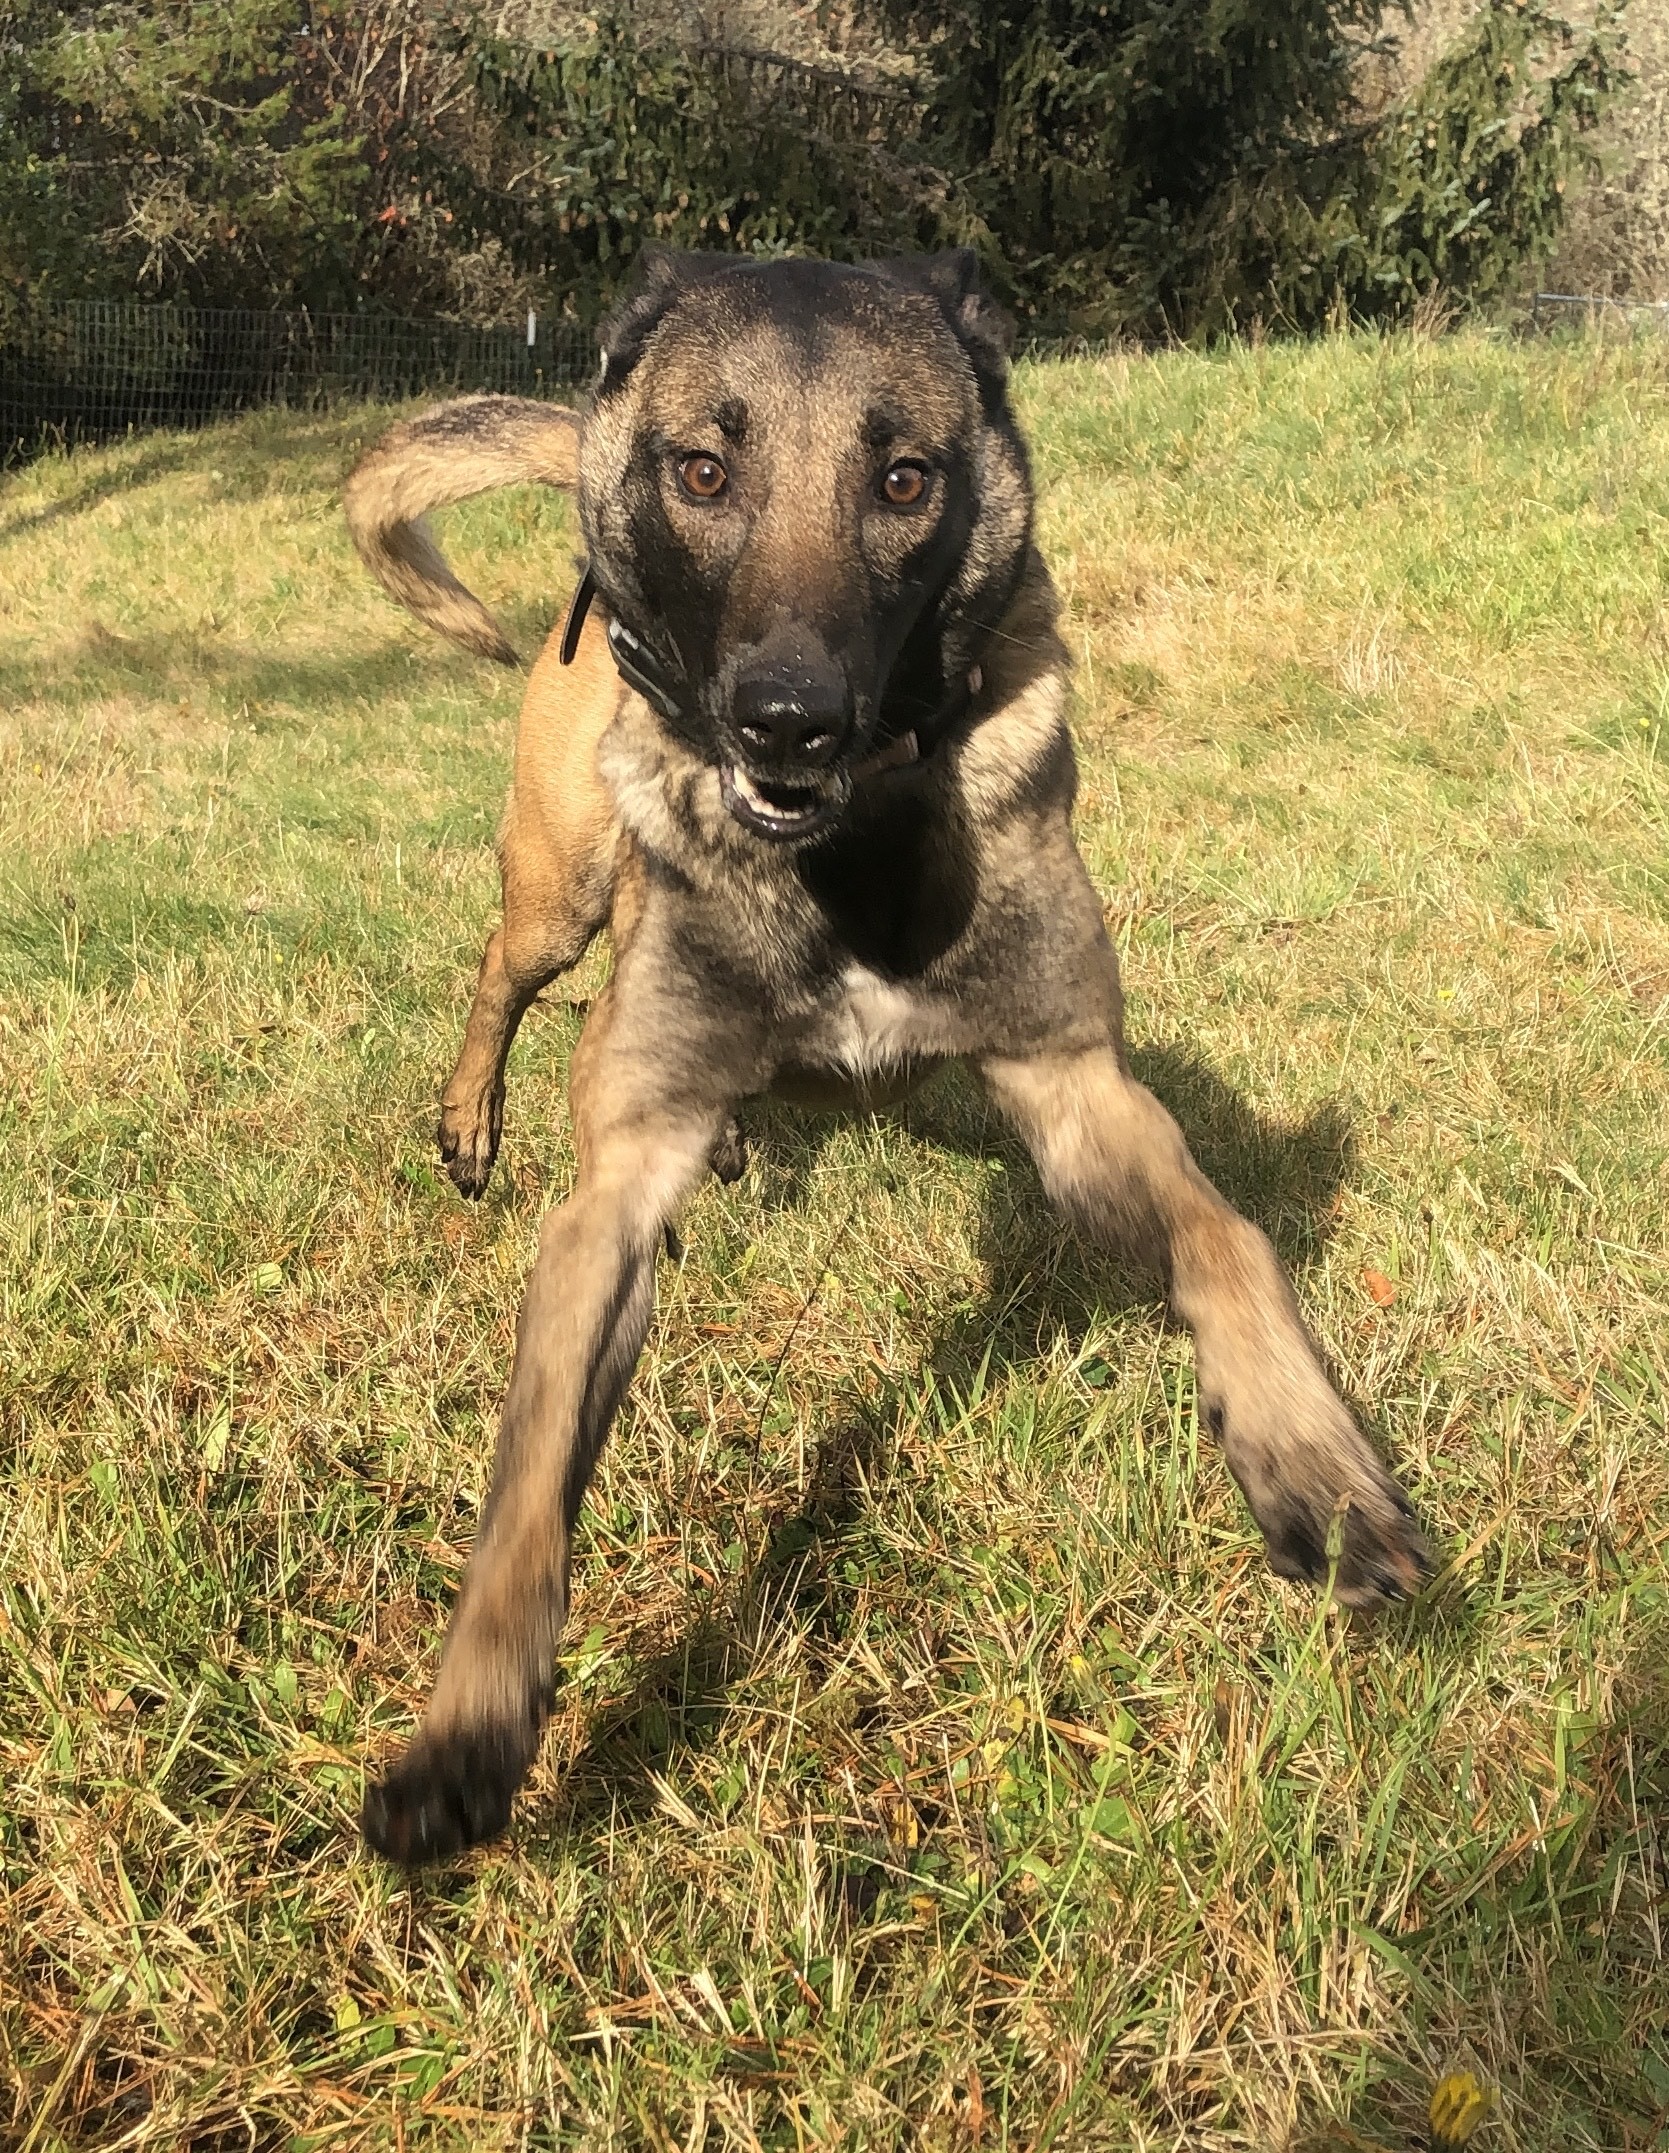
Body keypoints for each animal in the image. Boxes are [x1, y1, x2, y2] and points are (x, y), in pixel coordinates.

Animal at [342, 247, 1438, 1868]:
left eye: (905, 478)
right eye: (704, 469)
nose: (788, 719)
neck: (846, 853)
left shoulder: (1073, 1082)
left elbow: (1224, 1236)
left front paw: (1317, 1468)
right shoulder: (613, 1192)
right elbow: (528, 1476)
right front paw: (468, 1724)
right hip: (564, 884)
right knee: (505, 973)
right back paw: (470, 1119)